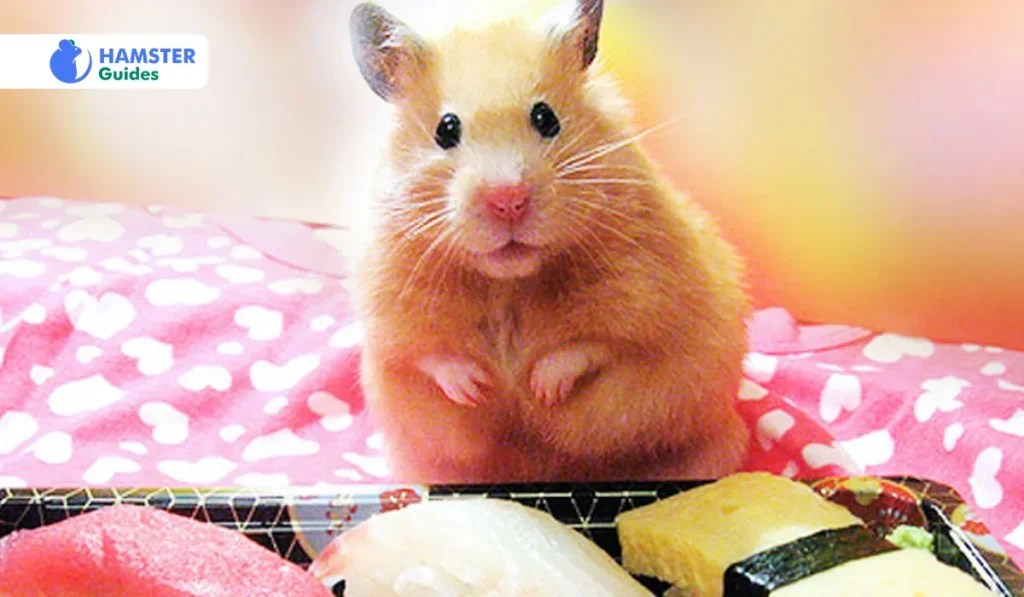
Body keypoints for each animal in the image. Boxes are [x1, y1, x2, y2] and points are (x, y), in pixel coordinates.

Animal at [348, 0, 751, 483]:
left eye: (546, 118)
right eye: (446, 129)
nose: (508, 200)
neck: (508, 282)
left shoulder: (644, 295)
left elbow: (594, 345)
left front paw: (539, 389)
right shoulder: (392, 308)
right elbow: (429, 355)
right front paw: (479, 389)